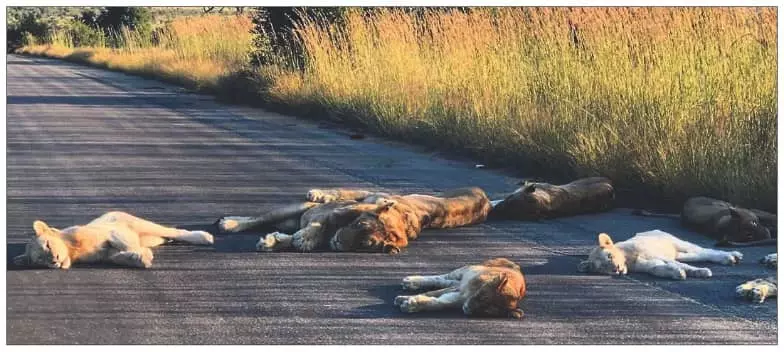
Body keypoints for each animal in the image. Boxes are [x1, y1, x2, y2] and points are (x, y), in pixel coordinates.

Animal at [12, 212, 214, 270]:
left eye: (47, 245)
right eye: (40, 260)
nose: (54, 260)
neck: (72, 251)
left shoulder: (111, 232)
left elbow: (122, 242)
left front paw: (142, 255)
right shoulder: (105, 255)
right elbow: (117, 257)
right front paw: (139, 258)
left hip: (141, 224)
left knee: (175, 231)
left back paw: (204, 237)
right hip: (152, 238)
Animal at [392, 256, 528, 320]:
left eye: (486, 312)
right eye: (483, 297)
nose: (468, 309)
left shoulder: (458, 296)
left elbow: (438, 302)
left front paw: (410, 303)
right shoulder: (461, 292)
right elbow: (432, 293)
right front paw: (404, 300)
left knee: (446, 282)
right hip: (465, 270)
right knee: (441, 278)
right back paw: (410, 281)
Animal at [580, 230, 744, 280]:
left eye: (609, 256)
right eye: (602, 268)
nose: (616, 269)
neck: (628, 259)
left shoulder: (655, 255)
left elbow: (682, 265)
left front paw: (700, 272)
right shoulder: (649, 265)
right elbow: (658, 269)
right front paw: (677, 274)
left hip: (679, 243)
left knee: (705, 251)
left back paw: (732, 256)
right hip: (681, 254)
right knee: (701, 255)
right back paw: (731, 258)